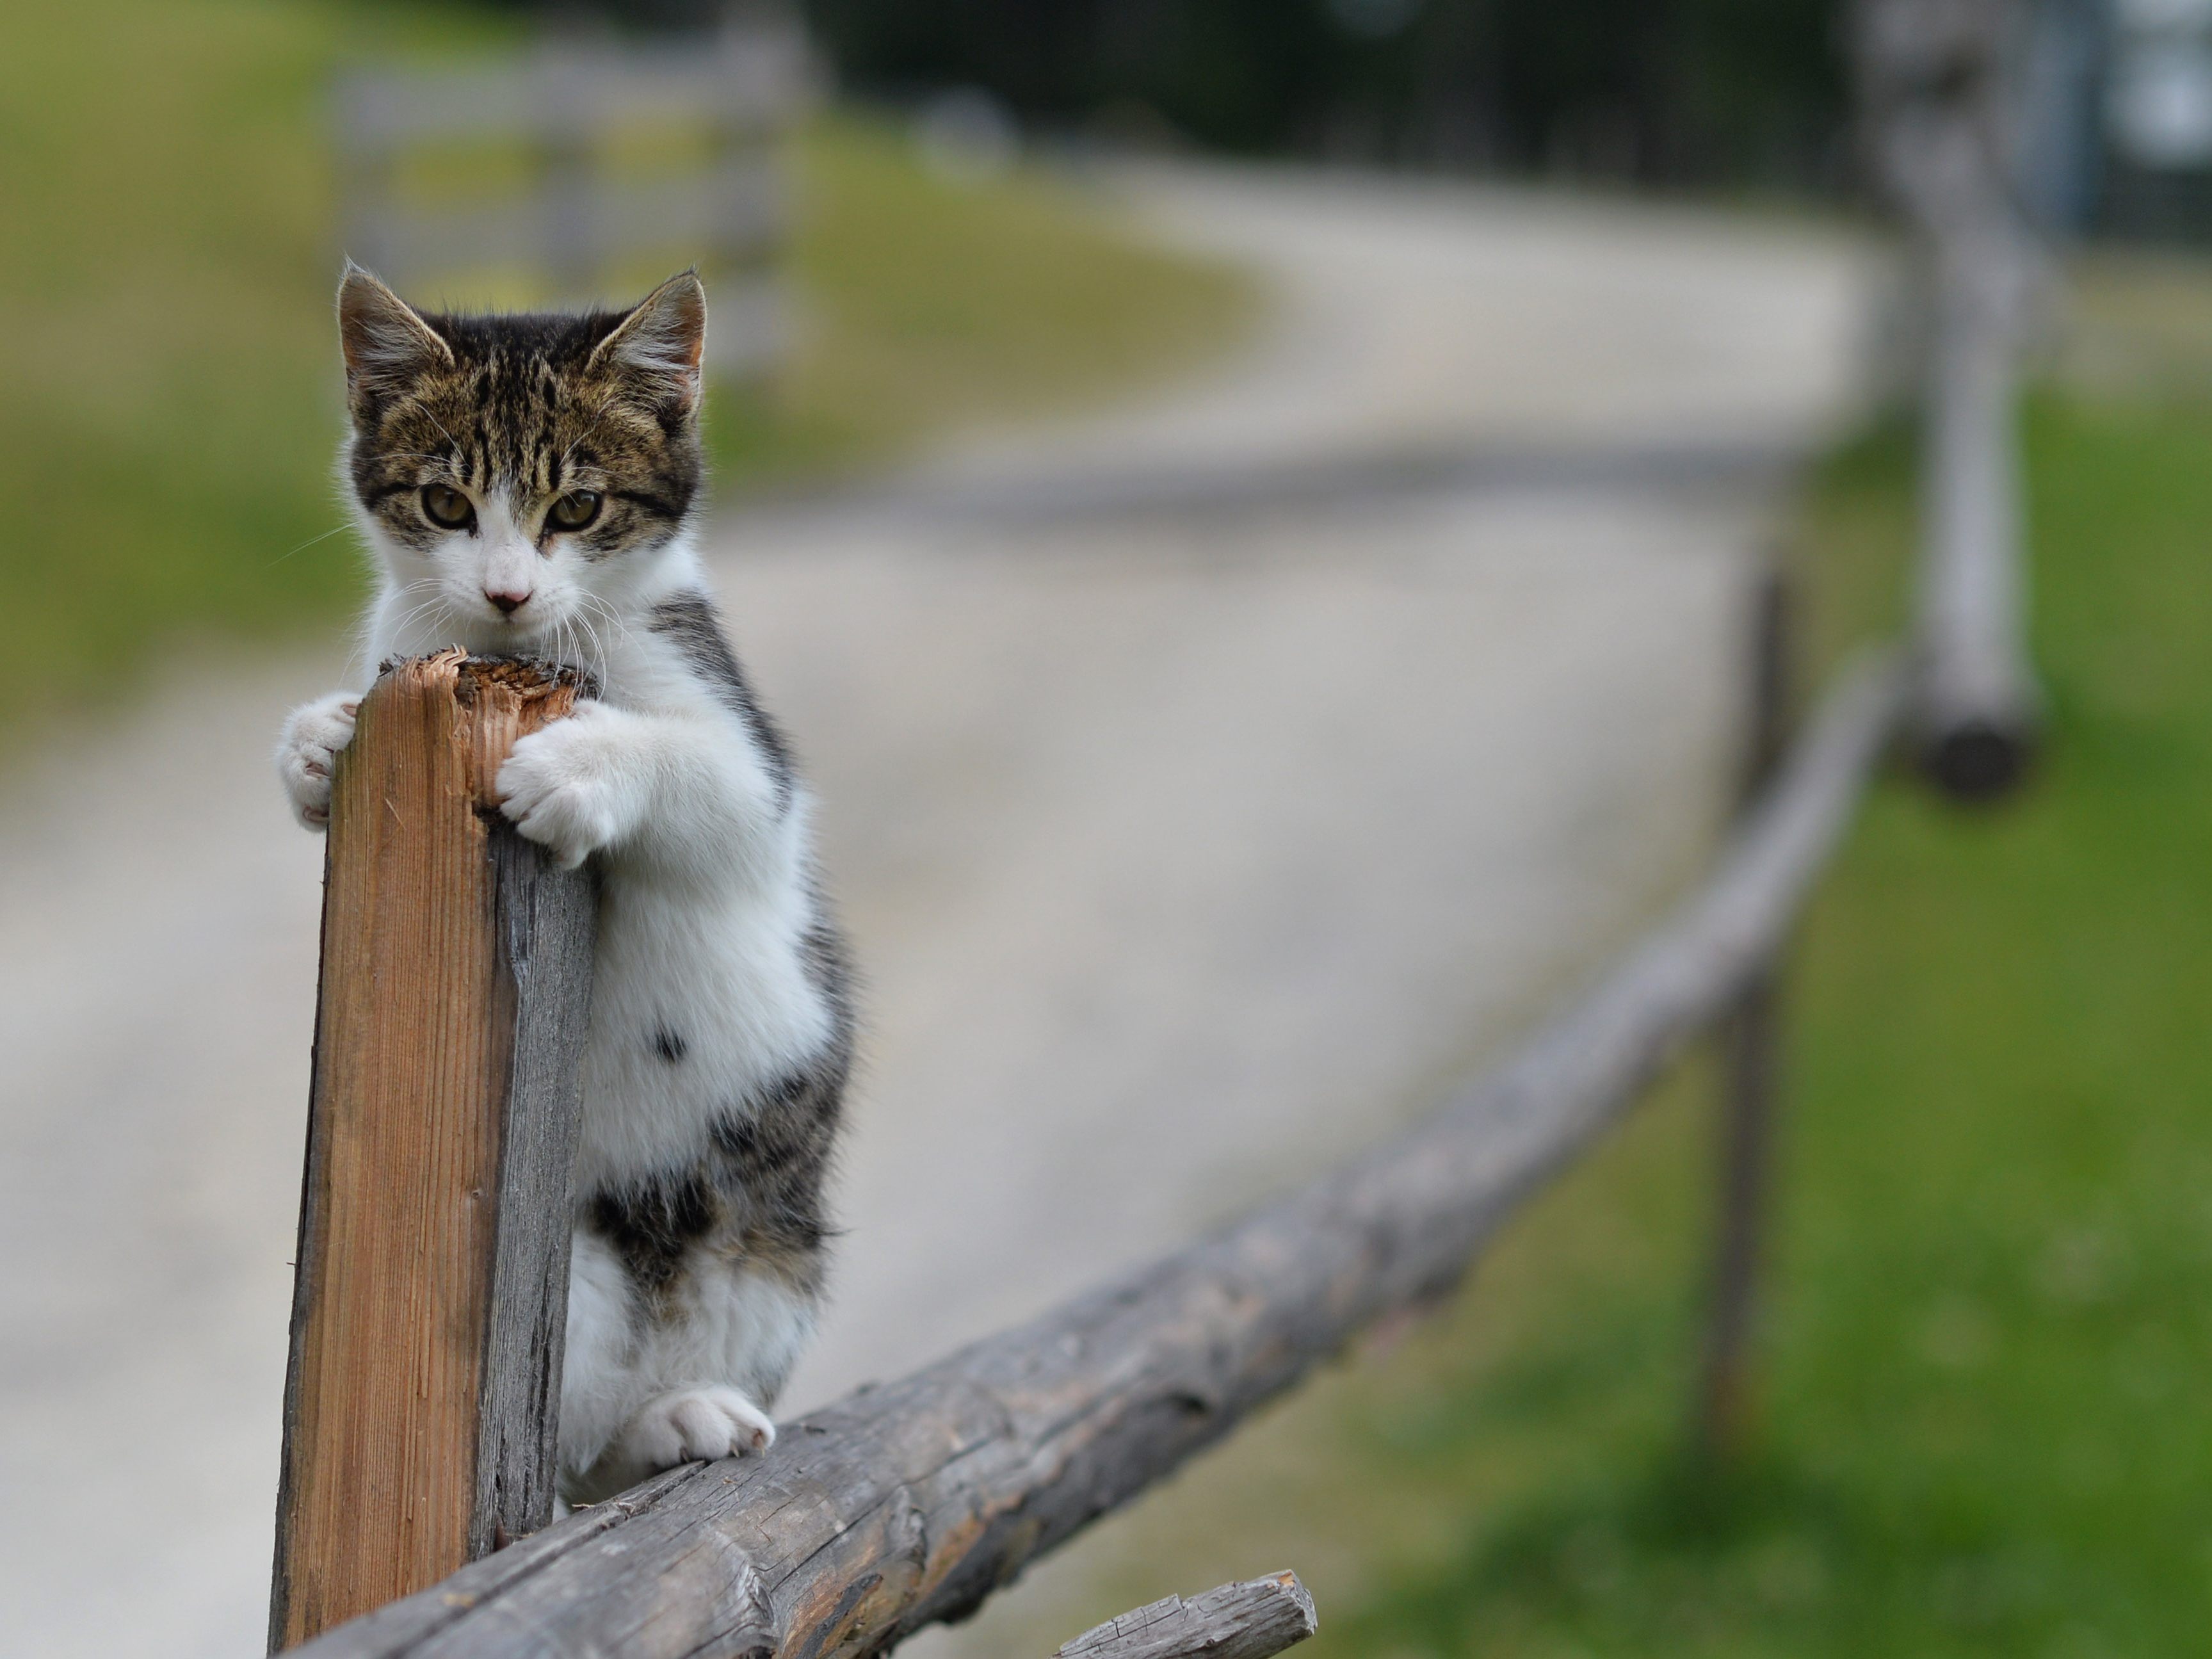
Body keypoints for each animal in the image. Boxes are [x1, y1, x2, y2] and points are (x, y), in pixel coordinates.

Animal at [280, 263, 849, 1504]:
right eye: (446, 505)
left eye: (577, 510)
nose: (504, 593)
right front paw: (315, 745)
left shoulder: (744, 757)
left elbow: (701, 772)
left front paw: (574, 769)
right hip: (568, 1283)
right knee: (561, 1453)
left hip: (764, 1263)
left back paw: (685, 1415)